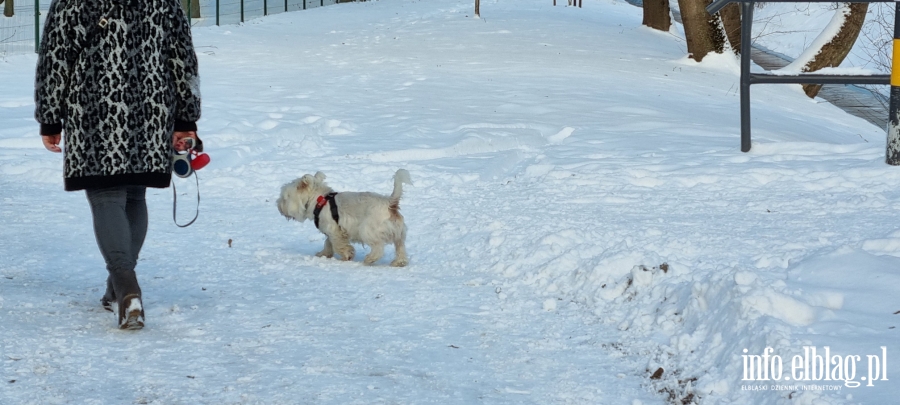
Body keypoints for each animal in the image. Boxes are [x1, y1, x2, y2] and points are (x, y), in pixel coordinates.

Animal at [276, 167, 414, 266]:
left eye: (284, 197)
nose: (278, 205)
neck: (319, 201)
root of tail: (390, 203)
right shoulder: (332, 232)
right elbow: (328, 243)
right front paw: (323, 254)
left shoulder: (335, 230)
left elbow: (338, 245)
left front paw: (347, 255)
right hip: (399, 233)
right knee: (400, 246)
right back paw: (399, 262)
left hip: (368, 230)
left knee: (378, 247)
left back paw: (369, 259)